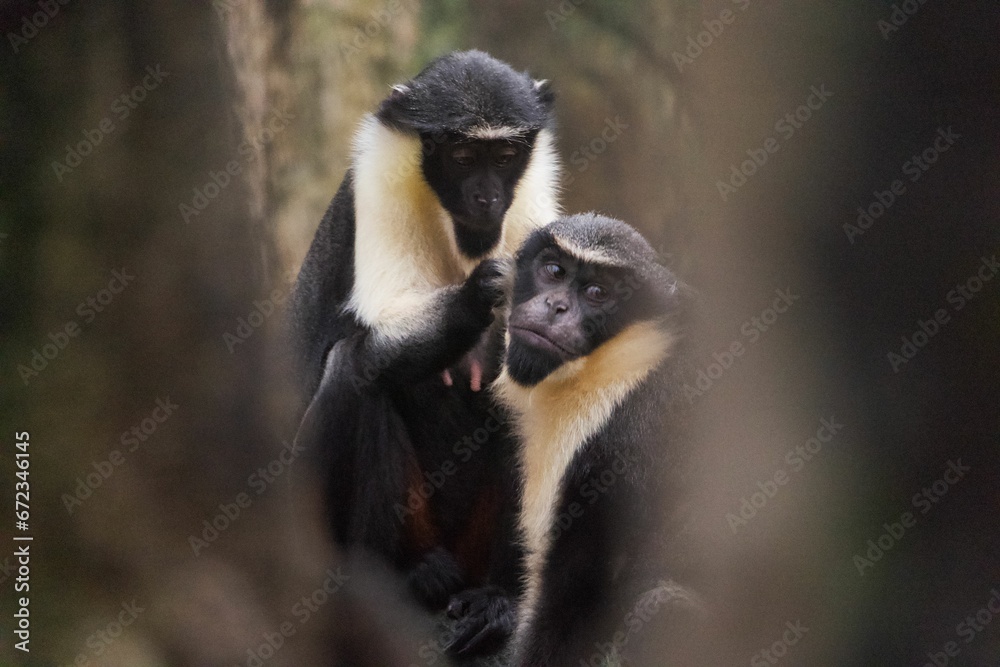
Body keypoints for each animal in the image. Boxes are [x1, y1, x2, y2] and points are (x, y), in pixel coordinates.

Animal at [289, 50, 560, 656]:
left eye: (504, 156)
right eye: (460, 157)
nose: (486, 198)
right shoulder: (377, 179)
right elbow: (376, 337)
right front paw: (486, 291)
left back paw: (499, 601)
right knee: (352, 368)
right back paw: (400, 579)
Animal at [491, 213, 705, 666]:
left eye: (597, 293)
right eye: (554, 271)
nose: (555, 307)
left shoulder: (617, 448)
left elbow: (578, 598)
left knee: (662, 606)